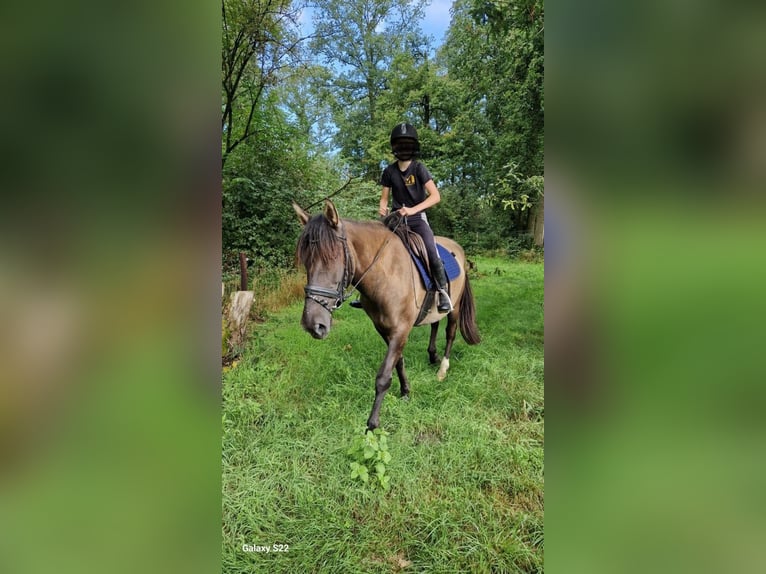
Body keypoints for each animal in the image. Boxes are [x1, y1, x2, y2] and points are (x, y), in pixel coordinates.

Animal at [292, 200, 480, 430]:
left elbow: (383, 376)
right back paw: (432, 355)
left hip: (456, 306)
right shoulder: (383, 328)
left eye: (332, 258)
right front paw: (405, 392)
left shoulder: (401, 330)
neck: (385, 273)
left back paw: (442, 369)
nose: (313, 325)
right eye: (306, 262)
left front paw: (372, 424)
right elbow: (398, 362)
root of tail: (458, 249)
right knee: (434, 325)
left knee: (450, 333)